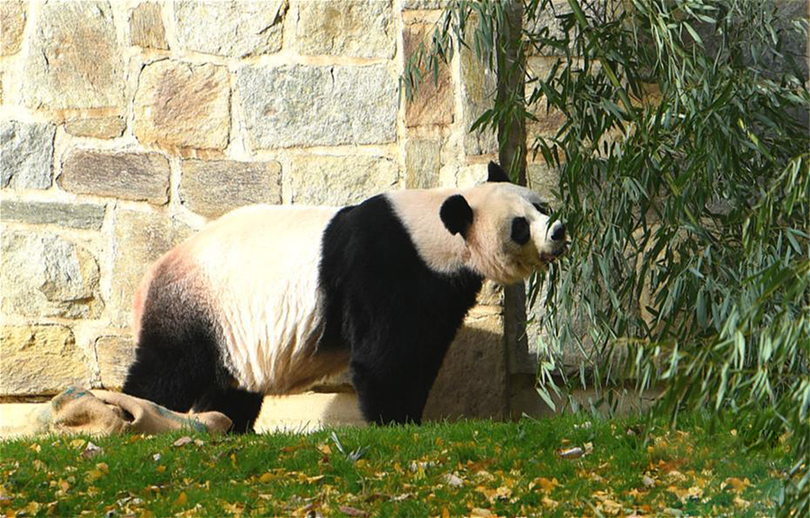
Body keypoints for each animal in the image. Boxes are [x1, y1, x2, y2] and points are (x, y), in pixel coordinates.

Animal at [123, 162, 564, 434]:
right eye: (520, 227)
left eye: (541, 205)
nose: (558, 231)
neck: (436, 232)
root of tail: (148, 277)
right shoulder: (384, 265)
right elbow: (386, 355)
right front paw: (397, 422)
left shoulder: (441, 289)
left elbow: (425, 348)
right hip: (198, 307)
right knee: (168, 368)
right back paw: (135, 413)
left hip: (233, 331)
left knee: (229, 385)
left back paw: (230, 427)